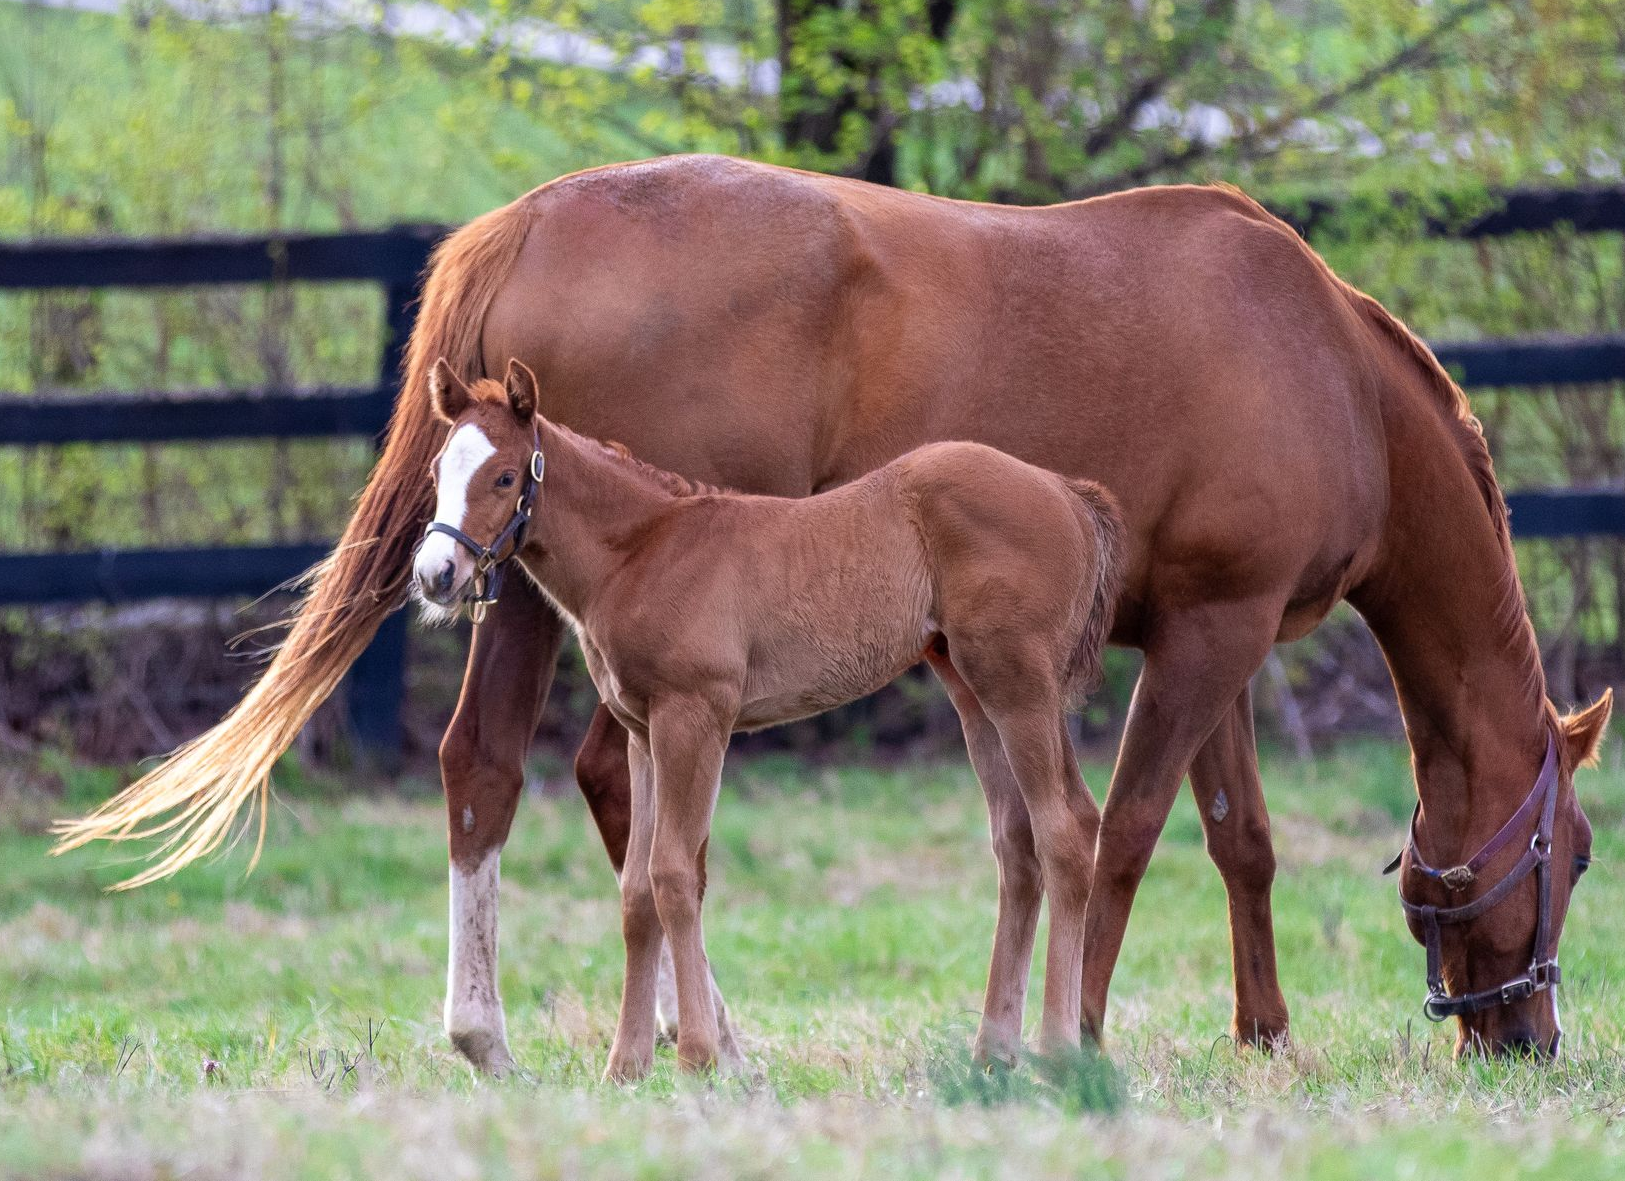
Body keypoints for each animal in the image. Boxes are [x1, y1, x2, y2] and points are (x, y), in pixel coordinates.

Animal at [414, 358, 1124, 1076]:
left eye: (505, 476)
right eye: (438, 471)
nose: (436, 573)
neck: (643, 550)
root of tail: (1067, 493)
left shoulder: (694, 717)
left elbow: (674, 874)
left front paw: (698, 1057)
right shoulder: (643, 732)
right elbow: (638, 893)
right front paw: (624, 1067)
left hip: (1018, 684)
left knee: (1064, 829)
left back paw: (1058, 1051)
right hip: (974, 691)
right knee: (1019, 841)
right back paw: (992, 1051)